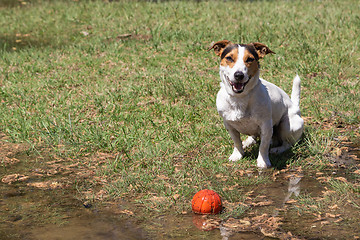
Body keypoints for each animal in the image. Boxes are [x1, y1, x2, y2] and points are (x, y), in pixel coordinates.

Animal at [208, 40, 304, 168]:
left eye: (250, 59)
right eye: (229, 58)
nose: (239, 75)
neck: (240, 98)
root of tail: (295, 106)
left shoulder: (266, 126)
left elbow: (263, 146)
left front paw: (263, 162)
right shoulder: (229, 124)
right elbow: (236, 141)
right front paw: (238, 154)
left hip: (288, 125)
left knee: (287, 143)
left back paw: (277, 149)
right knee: (253, 137)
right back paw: (247, 142)